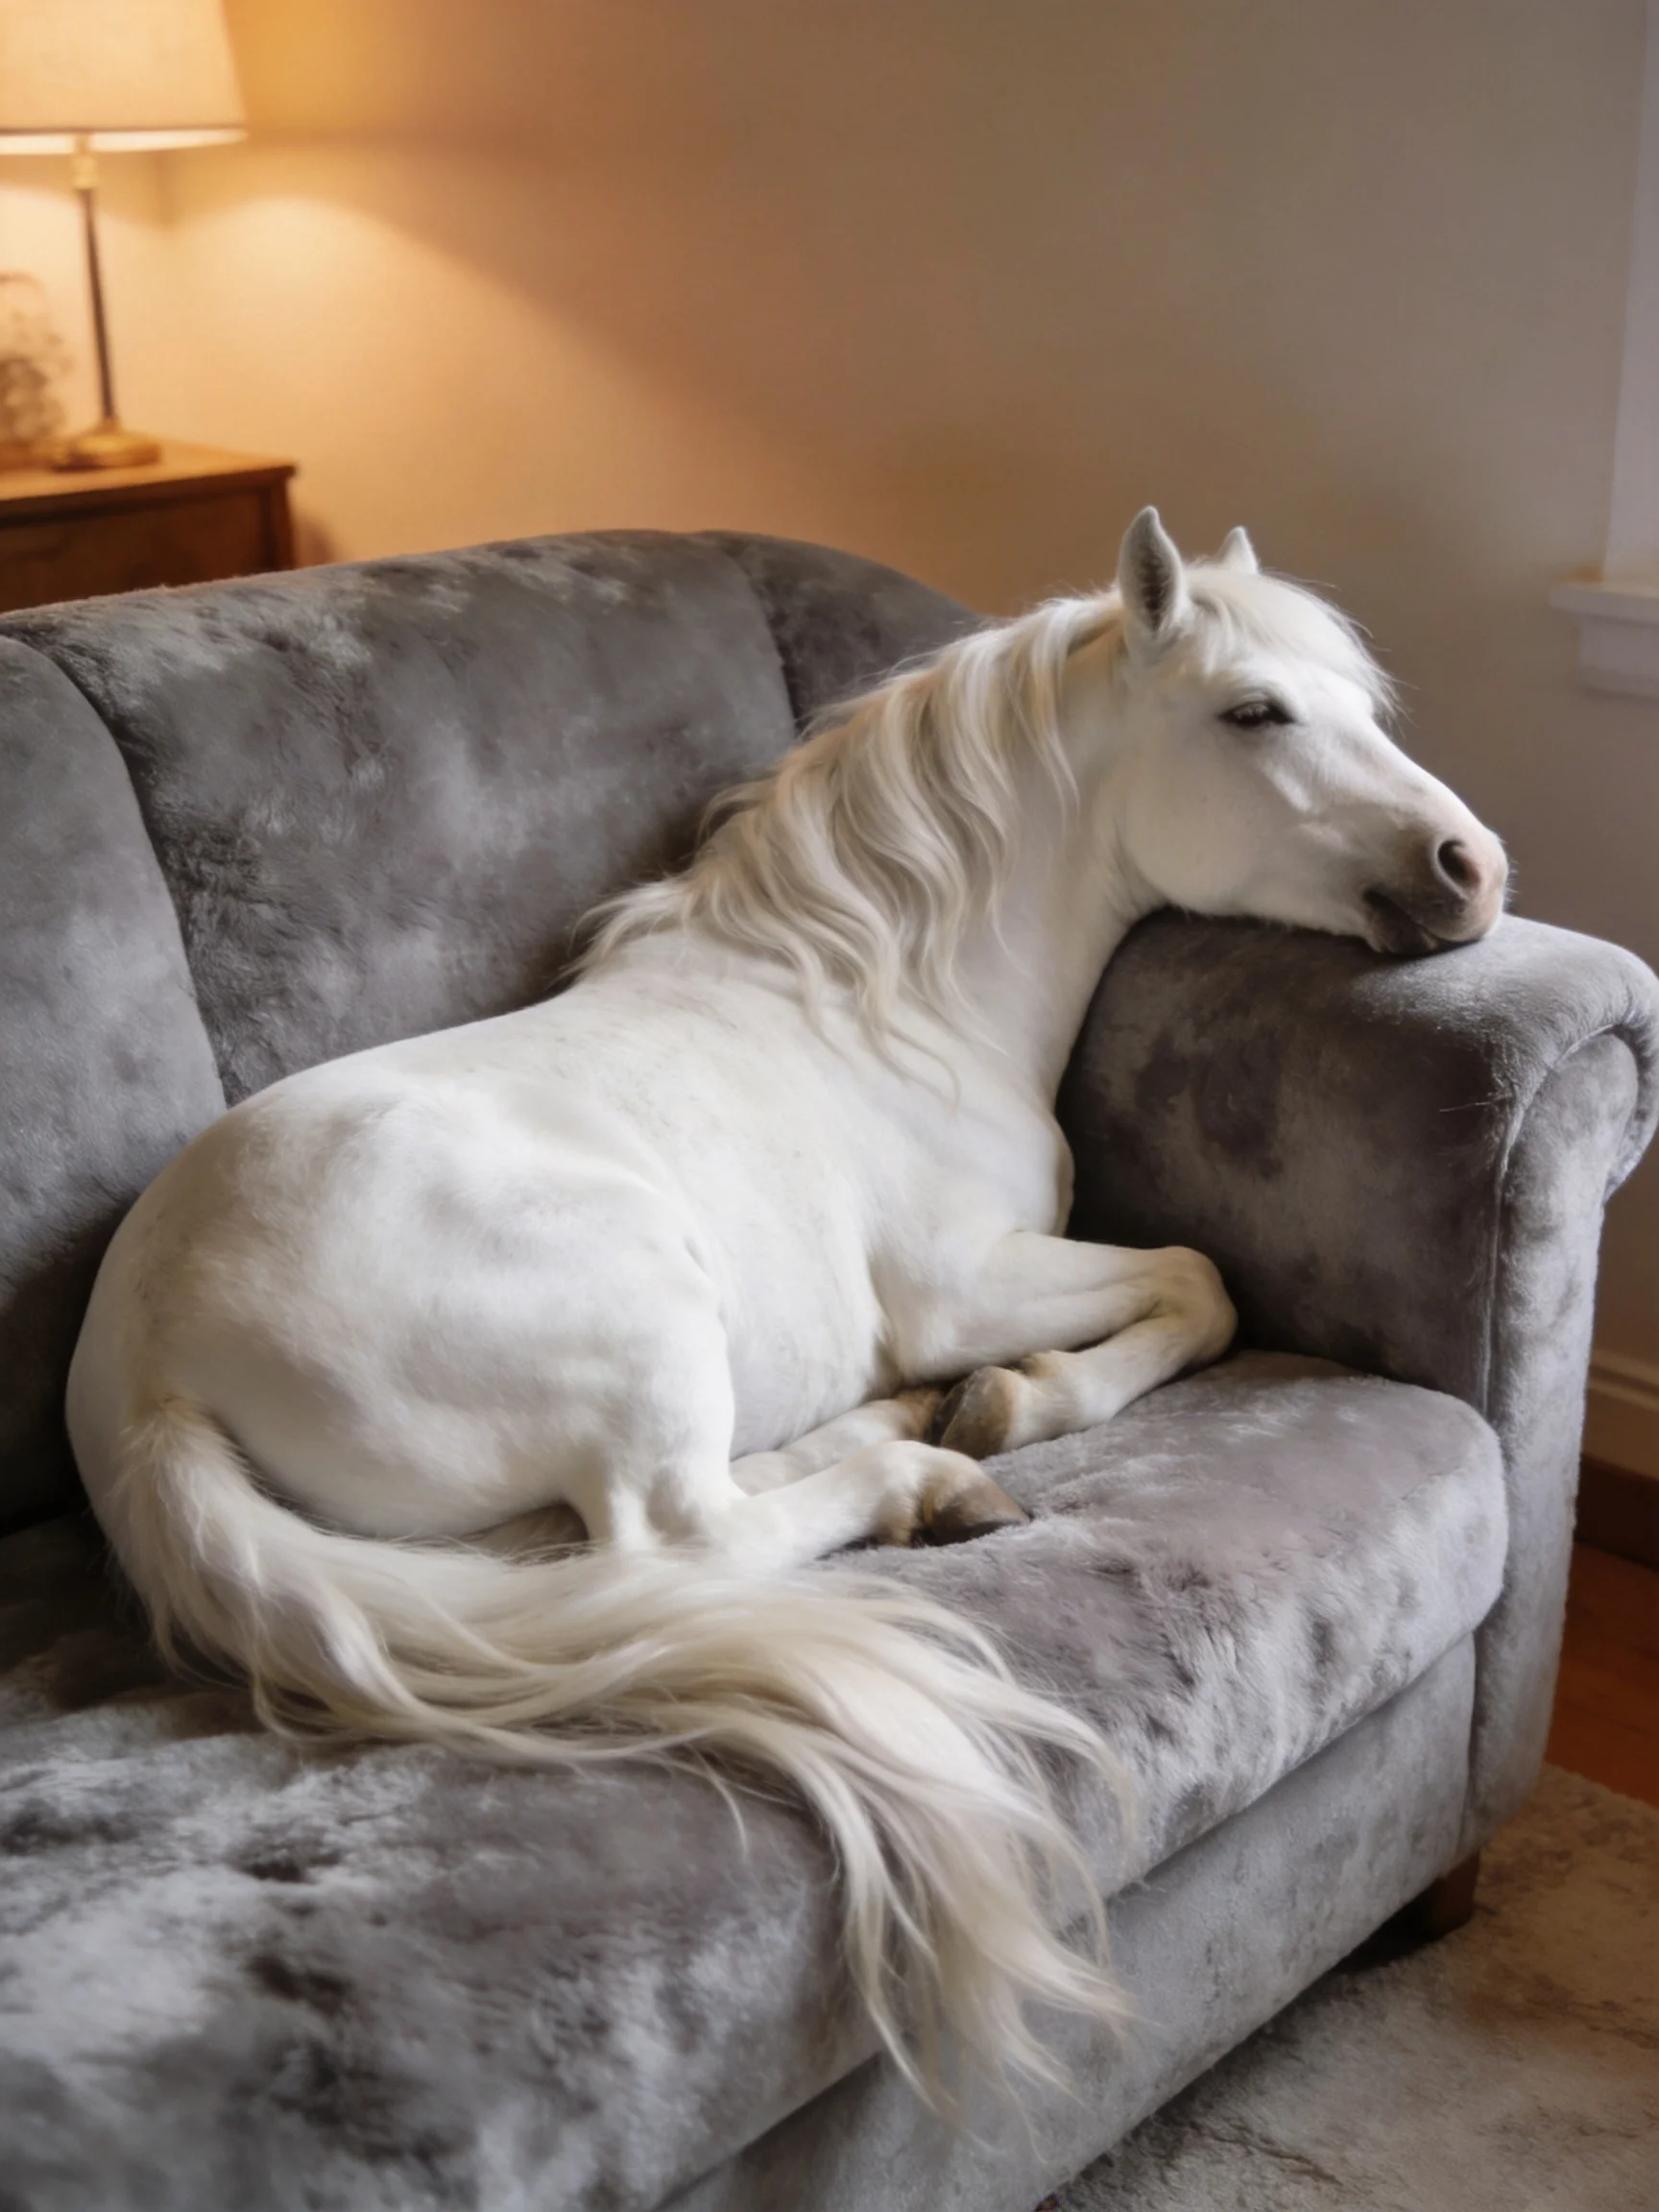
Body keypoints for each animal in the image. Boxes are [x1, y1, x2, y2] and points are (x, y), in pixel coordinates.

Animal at [67, 509, 1508, 2102]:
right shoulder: (965, 1281)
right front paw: (1021, 1402)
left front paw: (994, 1403)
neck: (896, 1006)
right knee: (675, 1547)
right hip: (643, 1320)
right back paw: (930, 1477)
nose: (1473, 868)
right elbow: (1204, 1283)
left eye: (1363, 705)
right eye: (1255, 713)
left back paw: (911, 1437)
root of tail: (140, 1375)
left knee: (612, 1552)